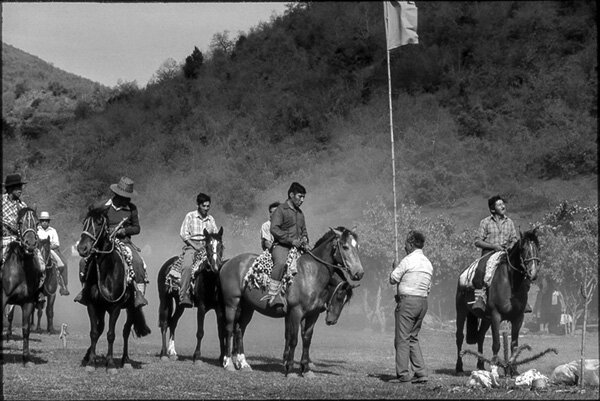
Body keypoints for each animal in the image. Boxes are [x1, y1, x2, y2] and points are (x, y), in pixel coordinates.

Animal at [0, 206, 43, 366]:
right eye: (19, 222)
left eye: (37, 223)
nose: (30, 243)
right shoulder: (3, 299)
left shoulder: (28, 302)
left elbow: (26, 329)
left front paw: (26, 358)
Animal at [76, 205, 151, 374]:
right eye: (84, 222)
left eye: (99, 223)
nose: (82, 248)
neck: (105, 272)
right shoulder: (93, 305)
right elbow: (94, 332)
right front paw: (90, 362)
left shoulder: (115, 307)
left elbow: (111, 334)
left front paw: (110, 364)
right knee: (101, 328)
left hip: (131, 308)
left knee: (125, 331)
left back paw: (126, 360)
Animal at [156, 227, 226, 364]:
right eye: (207, 246)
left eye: (221, 245)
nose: (215, 267)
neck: (210, 279)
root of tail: (167, 265)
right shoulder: (202, 307)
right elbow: (200, 332)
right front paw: (197, 357)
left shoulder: (219, 309)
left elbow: (221, 332)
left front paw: (222, 358)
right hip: (165, 299)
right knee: (164, 323)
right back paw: (164, 354)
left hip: (180, 305)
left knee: (173, 322)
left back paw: (173, 352)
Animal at [219, 227, 364, 376]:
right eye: (345, 246)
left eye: (357, 247)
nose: (359, 273)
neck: (311, 274)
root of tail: (228, 262)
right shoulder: (295, 312)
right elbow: (293, 339)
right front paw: (289, 368)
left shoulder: (312, 314)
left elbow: (306, 339)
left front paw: (306, 369)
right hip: (232, 303)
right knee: (229, 329)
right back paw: (229, 363)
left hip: (248, 306)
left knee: (240, 330)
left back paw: (243, 364)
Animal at [454, 228, 540, 376]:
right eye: (523, 249)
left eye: (538, 248)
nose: (532, 272)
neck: (511, 285)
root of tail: (462, 276)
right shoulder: (496, 316)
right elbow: (496, 344)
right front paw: (494, 369)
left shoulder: (518, 318)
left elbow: (514, 344)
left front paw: (513, 370)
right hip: (461, 311)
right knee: (459, 336)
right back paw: (459, 367)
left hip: (485, 319)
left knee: (480, 336)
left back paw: (481, 365)